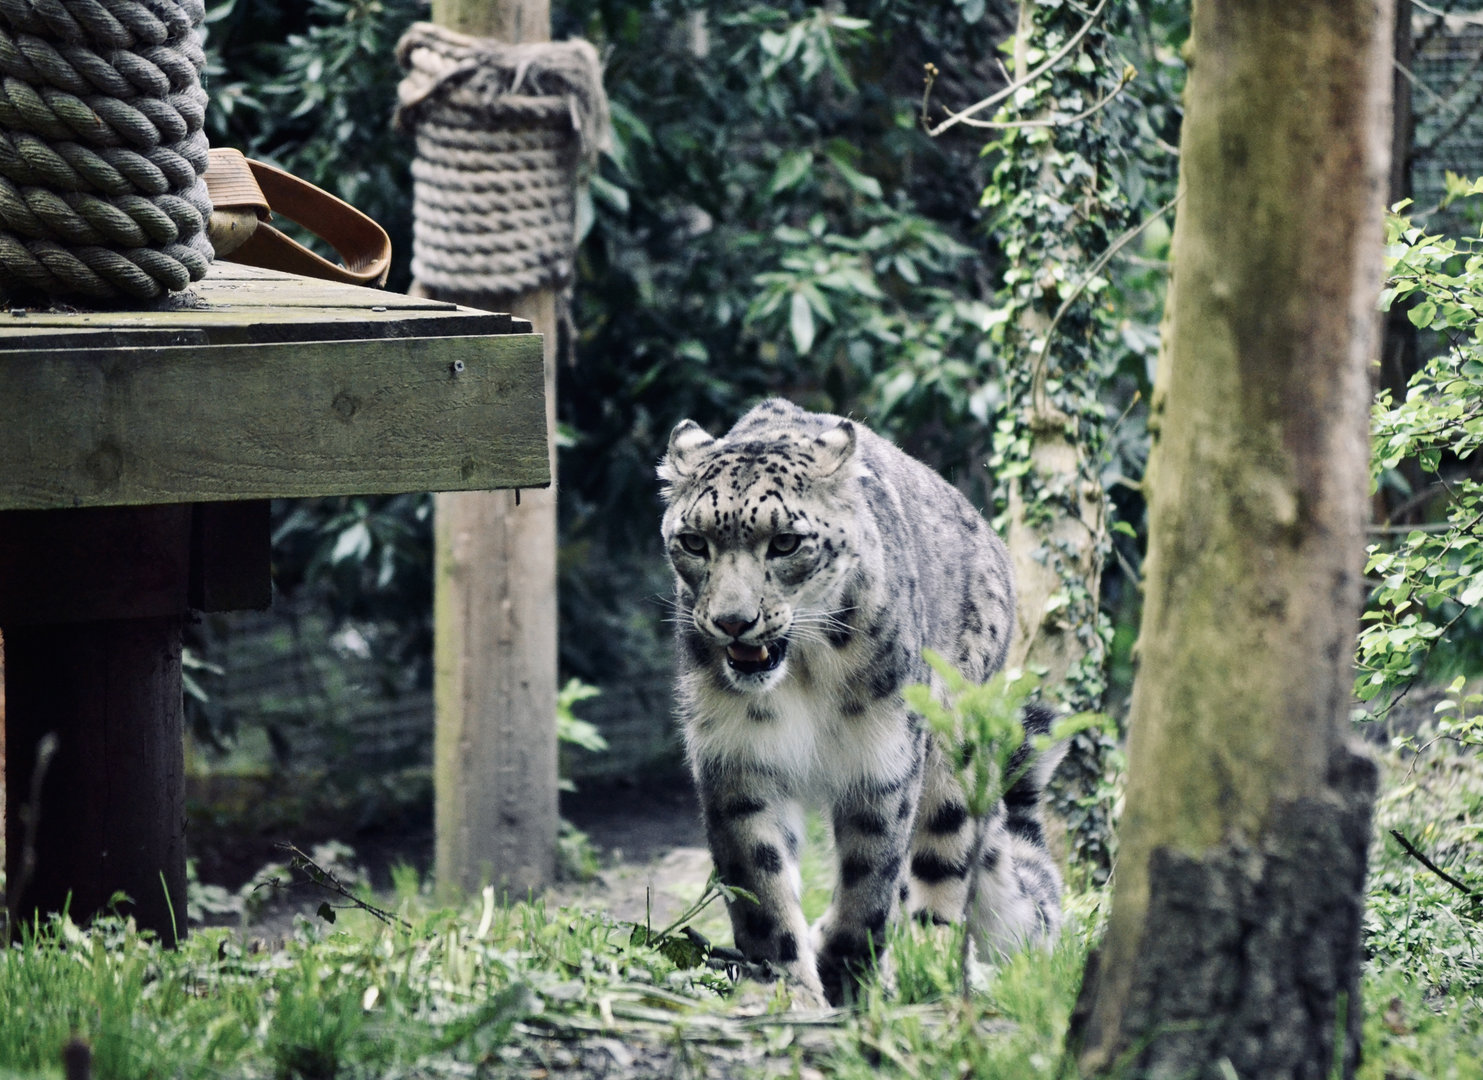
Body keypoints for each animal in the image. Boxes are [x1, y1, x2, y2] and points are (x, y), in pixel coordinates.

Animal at [658, 397, 1066, 1007]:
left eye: (785, 542)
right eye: (693, 541)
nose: (733, 621)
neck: (800, 675)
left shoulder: (882, 757)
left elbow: (870, 875)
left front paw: (846, 968)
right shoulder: (738, 757)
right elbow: (760, 882)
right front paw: (785, 988)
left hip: (952, 750)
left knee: (944, 861)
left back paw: (925, 964)